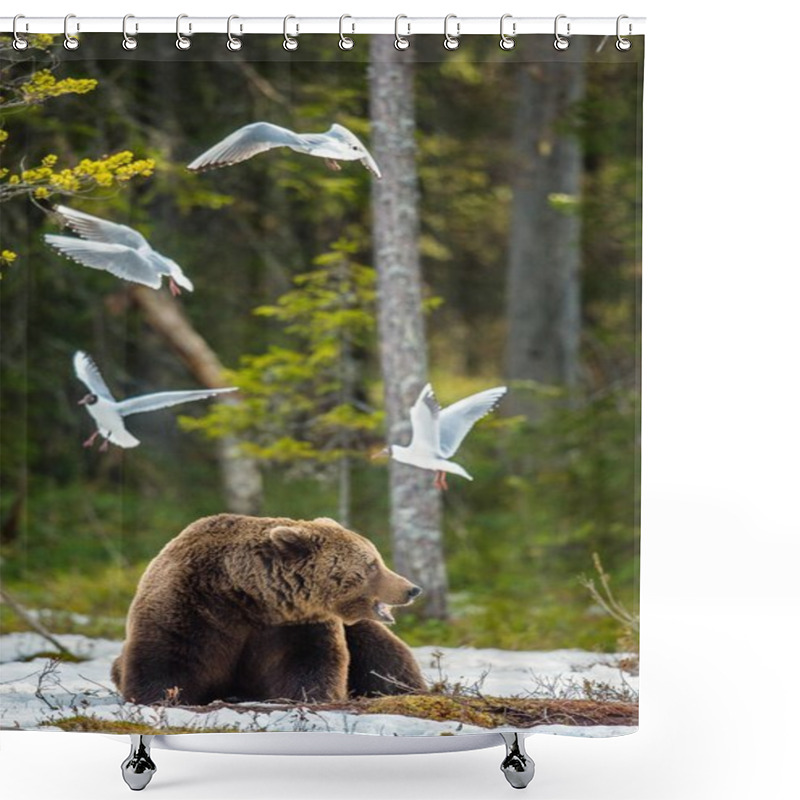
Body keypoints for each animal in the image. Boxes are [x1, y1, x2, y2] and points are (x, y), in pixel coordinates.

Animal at [112, 512, 428, 708]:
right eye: (372, 564)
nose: (411, 589)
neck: (247, 595)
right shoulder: (190, 604)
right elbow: (166, 658)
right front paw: (162, 697)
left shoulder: (294, 624)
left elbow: (307, 663)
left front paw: (309, 697)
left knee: (383, 651)